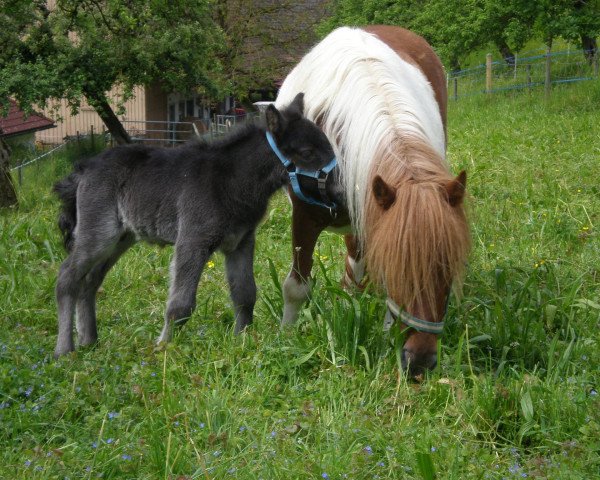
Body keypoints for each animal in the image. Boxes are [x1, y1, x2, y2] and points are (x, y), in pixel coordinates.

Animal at [52, 93, 336, 356]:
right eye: (307, 152)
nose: (338, 188)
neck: (231, 180)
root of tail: (85, 168)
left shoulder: (241, 242)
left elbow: (245, 294)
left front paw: (242, 342)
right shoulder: (192, 241)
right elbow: (181, 304)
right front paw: (163, 349)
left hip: (122, 238)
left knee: (90, 280)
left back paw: (89, 340)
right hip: (99, 233)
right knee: (67, 277)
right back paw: (64, 350)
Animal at [274, 25, 472, 378]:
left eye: (449, 270)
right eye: (400, 269)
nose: (419, 363)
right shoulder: (305, 216)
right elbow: (296, 286)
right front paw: (286, 337)